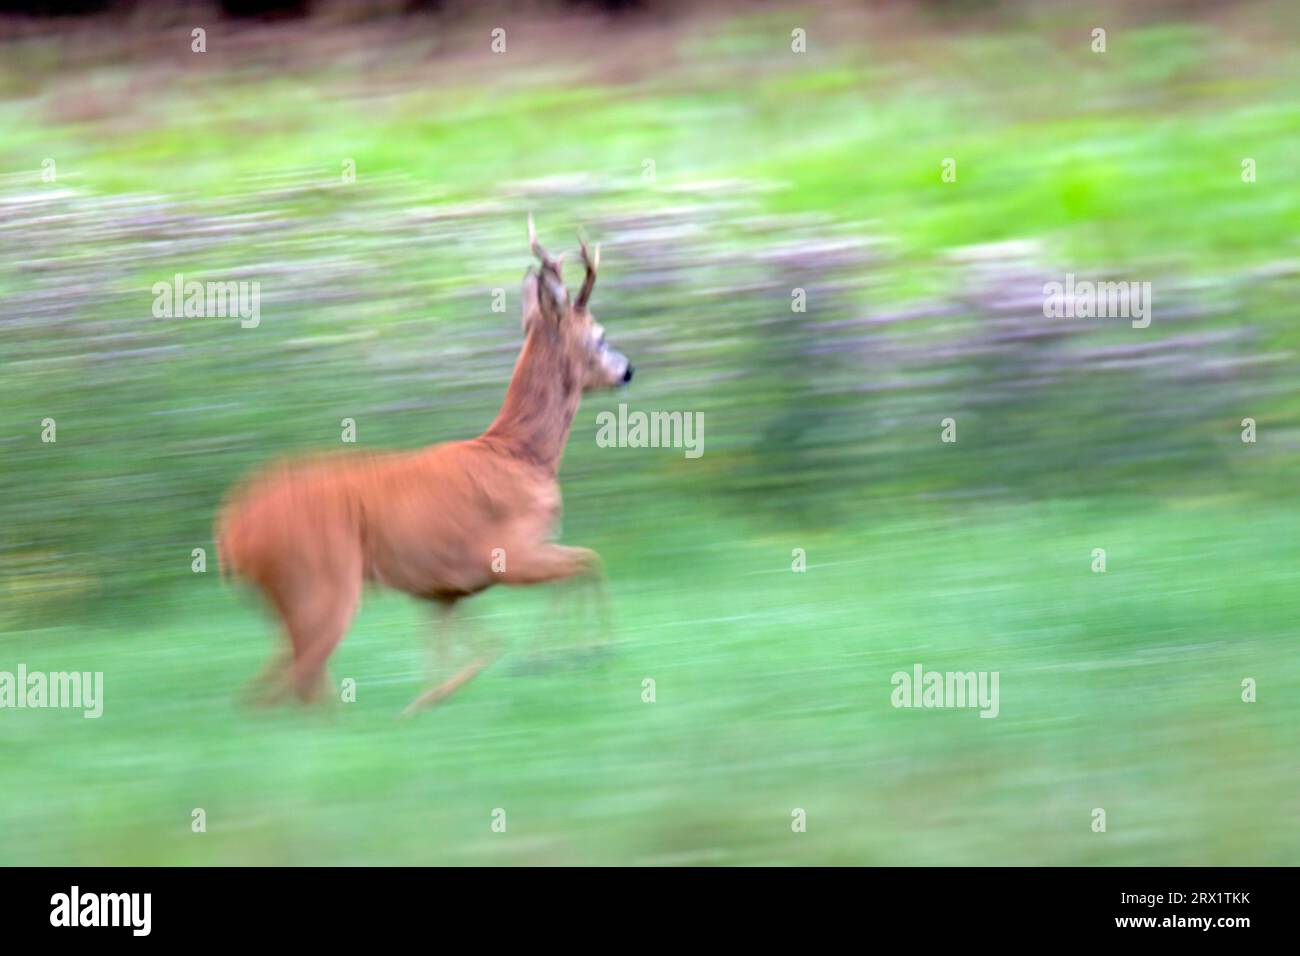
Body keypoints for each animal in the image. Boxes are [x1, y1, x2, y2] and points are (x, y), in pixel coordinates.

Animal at [215, 214, 631, 712]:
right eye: (601, 336)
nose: (628, 371)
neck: (522, 455)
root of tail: (232, 532)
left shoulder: (444, 591)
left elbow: (455, 650)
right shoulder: (509, 553)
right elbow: (588, 562)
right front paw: (581, 651)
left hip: (294, 600)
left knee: (271, 688)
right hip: (321, 583)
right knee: (296, 686)